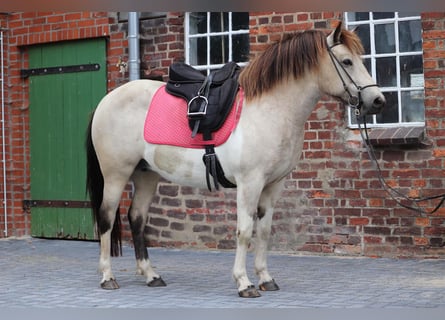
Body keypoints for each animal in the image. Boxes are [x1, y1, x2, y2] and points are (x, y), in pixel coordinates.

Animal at [86, 21, 386, 298]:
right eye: (347, 61)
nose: (378, 100)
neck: (270, 110)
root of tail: (106, 101)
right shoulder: (249, 183)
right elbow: (244, 230)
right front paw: (244, 283)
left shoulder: (274, 185)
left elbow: (264, 231)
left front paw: (265, 279)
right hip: (116, 174)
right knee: (106, 218)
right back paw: (107, 277)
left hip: (146, 174)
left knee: (137, 218)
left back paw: (151, 275)